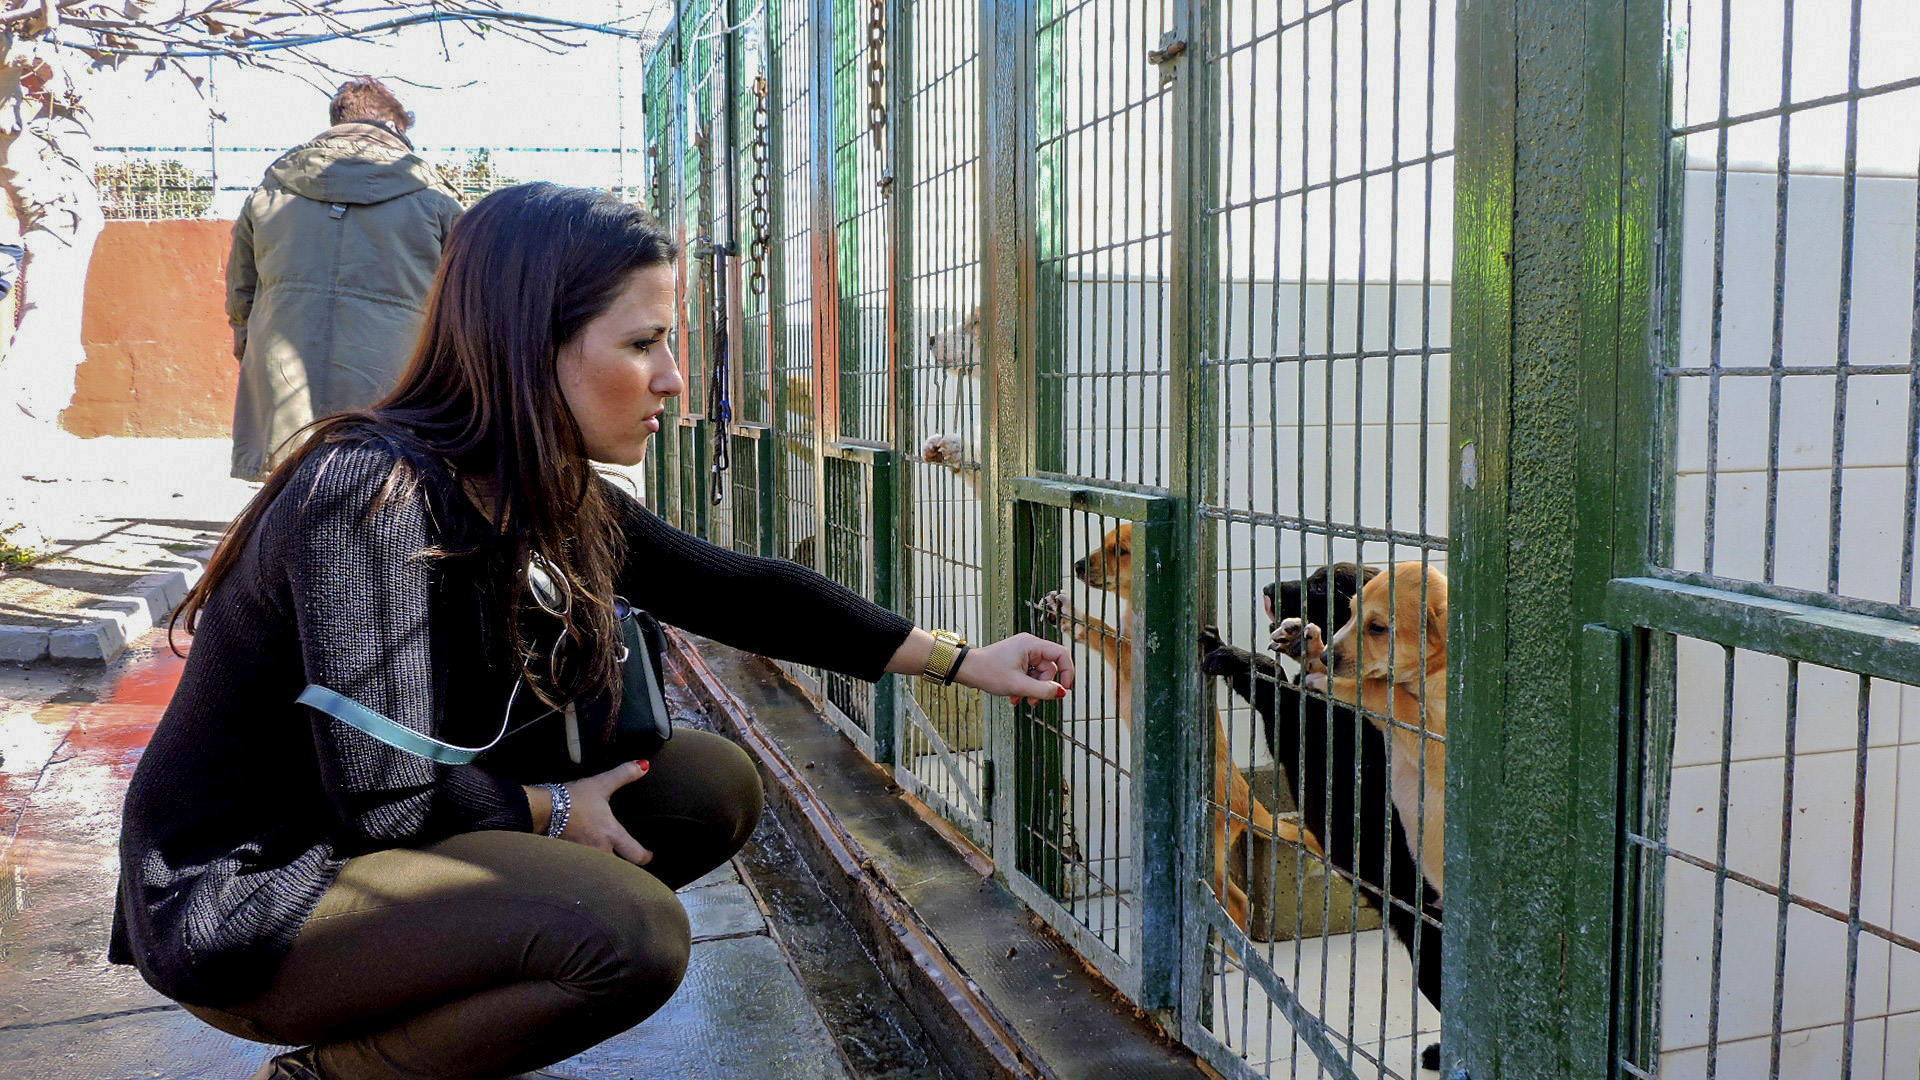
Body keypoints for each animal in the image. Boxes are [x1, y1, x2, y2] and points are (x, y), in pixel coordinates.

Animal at [1036, 518, 1320, 930]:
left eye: (1121, 551)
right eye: (1103, 543)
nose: (1076, 566)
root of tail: (1249, 802)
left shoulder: (1134, 655)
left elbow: (1104, 632)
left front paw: (1075, 617)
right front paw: (1060, 609)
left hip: (1210, 854)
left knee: (1237, 904)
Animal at [1282, 557, 1443, 895]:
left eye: (1378, 628)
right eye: (1351, 611)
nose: (1326, 657)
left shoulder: (1436, 743)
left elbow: (1382, 689)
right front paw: (1308, 647)